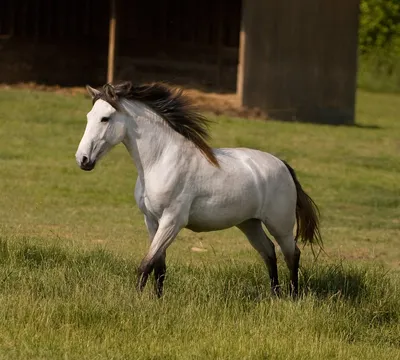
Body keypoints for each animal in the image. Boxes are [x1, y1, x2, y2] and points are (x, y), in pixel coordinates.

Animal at [75, 81, 322, 298]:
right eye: (88, 117)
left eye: (105, 118)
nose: (83, 159)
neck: (161, 160)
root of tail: (284, 166)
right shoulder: (152, 221)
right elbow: (158, 267)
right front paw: (156, 301)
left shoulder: (172, 221)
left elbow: (146, 264)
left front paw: (135, 302)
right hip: (249, 223)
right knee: (269, 252)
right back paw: (275, 296)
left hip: (280, 225)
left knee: (291, 254)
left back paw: (292, 297)